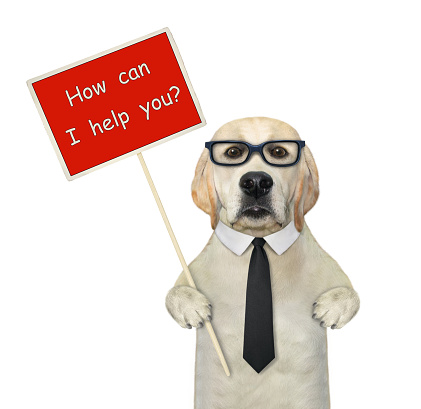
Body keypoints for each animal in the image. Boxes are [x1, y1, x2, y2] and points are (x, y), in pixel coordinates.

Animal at [164, 117, 358, 408]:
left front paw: (332, 307)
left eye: (279, 152)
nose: (256, 181)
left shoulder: (333, 272)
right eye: (233, 152)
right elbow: (173, 292)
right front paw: (192, 306)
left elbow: (352, 294)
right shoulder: (191, 273)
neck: (259, 240)